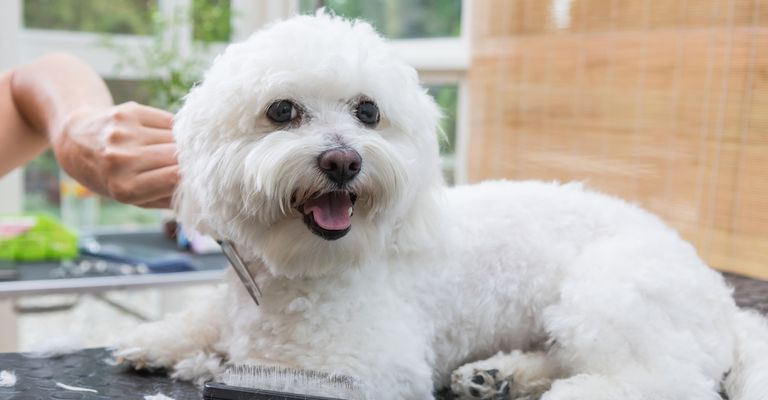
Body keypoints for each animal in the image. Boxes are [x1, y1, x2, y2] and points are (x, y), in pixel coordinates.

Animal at [114, 12, 768, 400]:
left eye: (368, 111)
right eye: (281, 110)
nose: (343, 161)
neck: (296, 271)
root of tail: (725, 302)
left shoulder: (371, 366)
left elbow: (257, 360)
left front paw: (202, 363)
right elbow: (203, 320)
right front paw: (163, 342)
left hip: (608, 291)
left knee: (668, 380)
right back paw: (497, 374)